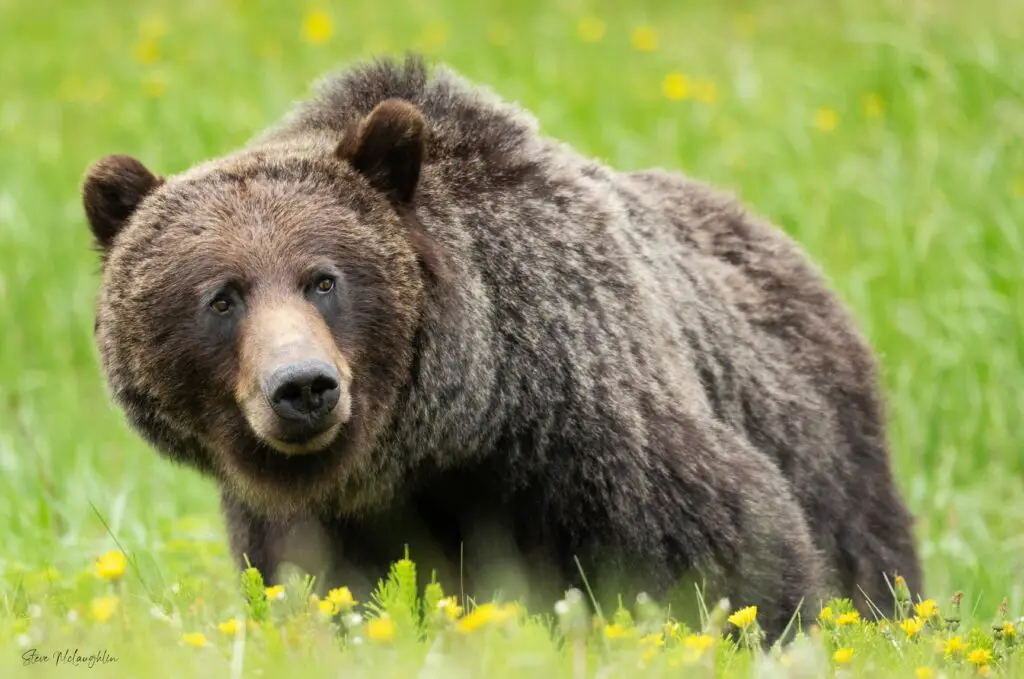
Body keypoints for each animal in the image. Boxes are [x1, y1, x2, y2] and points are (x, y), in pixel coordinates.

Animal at [81, 54, 921, 643]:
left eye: (323, 278)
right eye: (222, 296)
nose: (304, 385)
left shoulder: (589, 432)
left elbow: (737, 552)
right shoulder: (303, 520)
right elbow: (327, 595)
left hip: (826, 446)